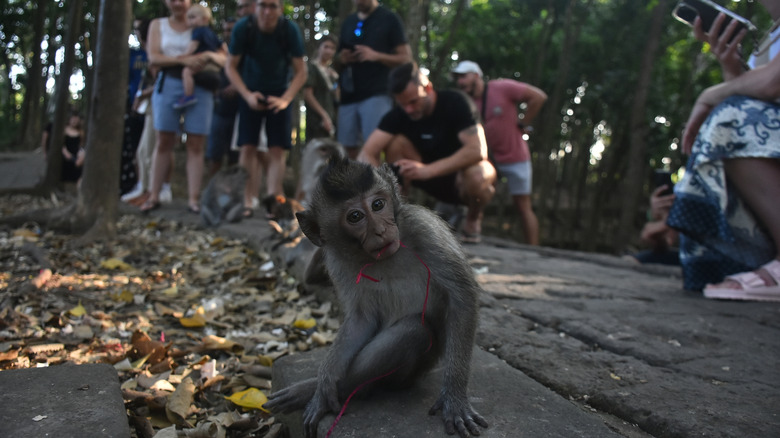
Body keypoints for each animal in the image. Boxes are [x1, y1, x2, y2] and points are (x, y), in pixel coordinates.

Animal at [266, 158, 490, 438]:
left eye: (378, 205)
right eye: (355, 217)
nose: (382, 230)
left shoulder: (424, 228)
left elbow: (462, 296)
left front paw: (455, 398)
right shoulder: (336, 259)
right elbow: (361, 319)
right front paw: (325, 381)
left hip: (410, 374)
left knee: (412, 331)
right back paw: (317, 389)